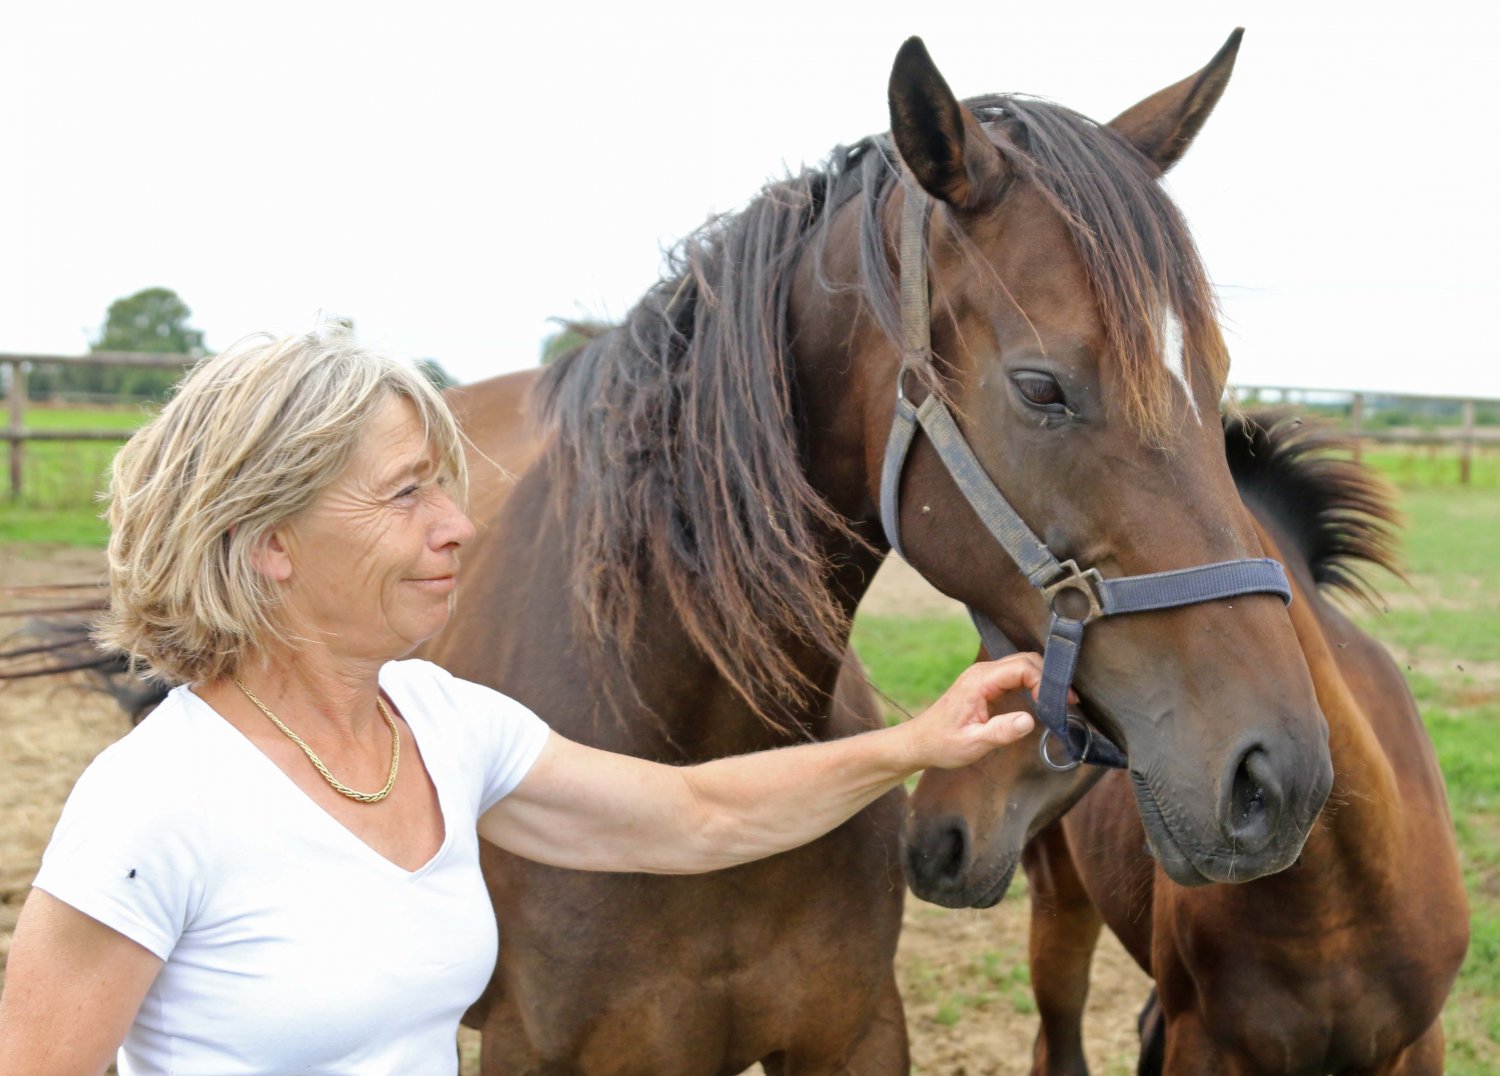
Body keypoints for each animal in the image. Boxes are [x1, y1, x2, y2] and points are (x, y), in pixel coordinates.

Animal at [903, 412, 1470, 1074]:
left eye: (1033, 642)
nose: (931, 840)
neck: (1337, 905)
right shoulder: (1201, 1044)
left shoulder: (1418, 1045)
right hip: (1059, 908)